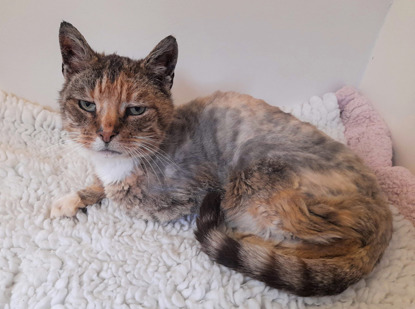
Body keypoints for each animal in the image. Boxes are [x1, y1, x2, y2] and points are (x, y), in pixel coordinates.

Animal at [52, 21, 394, 296]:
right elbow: (102, 185)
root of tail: (385, 216)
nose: (106, 134)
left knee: (337, 241)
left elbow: (124, 197)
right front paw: (72, 198)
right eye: (87, 105)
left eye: (136, 109)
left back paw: (250, 241)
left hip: (258, 175)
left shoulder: (189, 192)